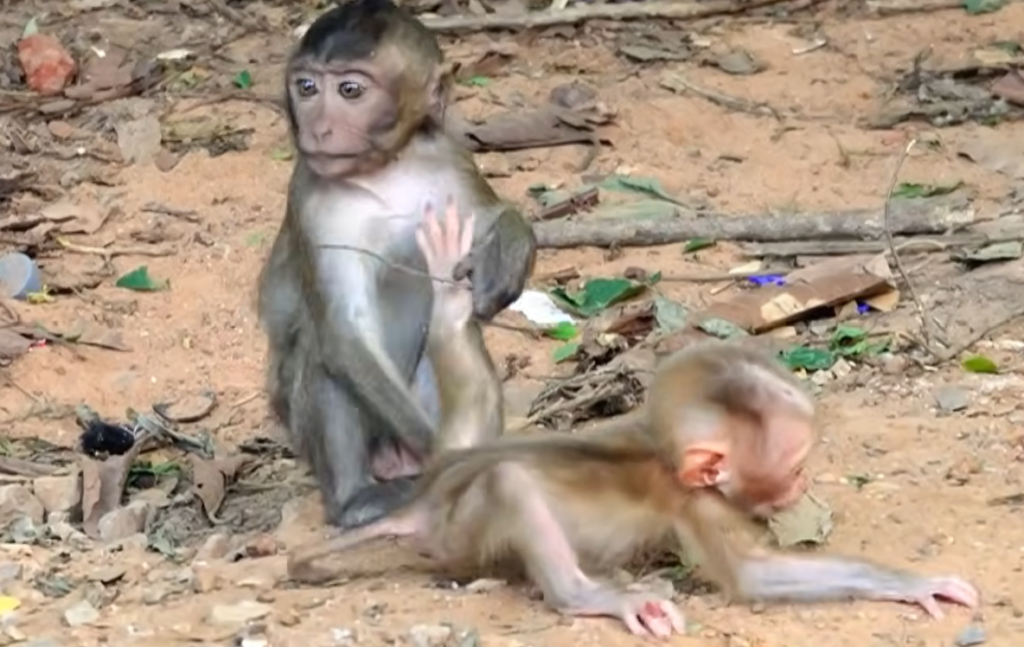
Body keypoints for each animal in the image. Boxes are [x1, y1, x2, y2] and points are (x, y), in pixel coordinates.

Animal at [256, 0, 536, 529]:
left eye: (350, 90)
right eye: (307, 87)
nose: (318, 128)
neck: (386, 169)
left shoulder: (449, 156)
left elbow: (492, 216)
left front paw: (510, 252)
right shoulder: (312, 197)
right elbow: (343, 332)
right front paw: (446, 452)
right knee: (323, 352)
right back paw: (357, 500)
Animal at [286, 340, 979, 637]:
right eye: (792, 465)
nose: (801, 483)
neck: (664, 452)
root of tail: (425, 502)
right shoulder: (697, 504)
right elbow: (752, 578)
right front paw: (911, 583)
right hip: (463, 533)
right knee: (509, 482)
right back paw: (591, 596)